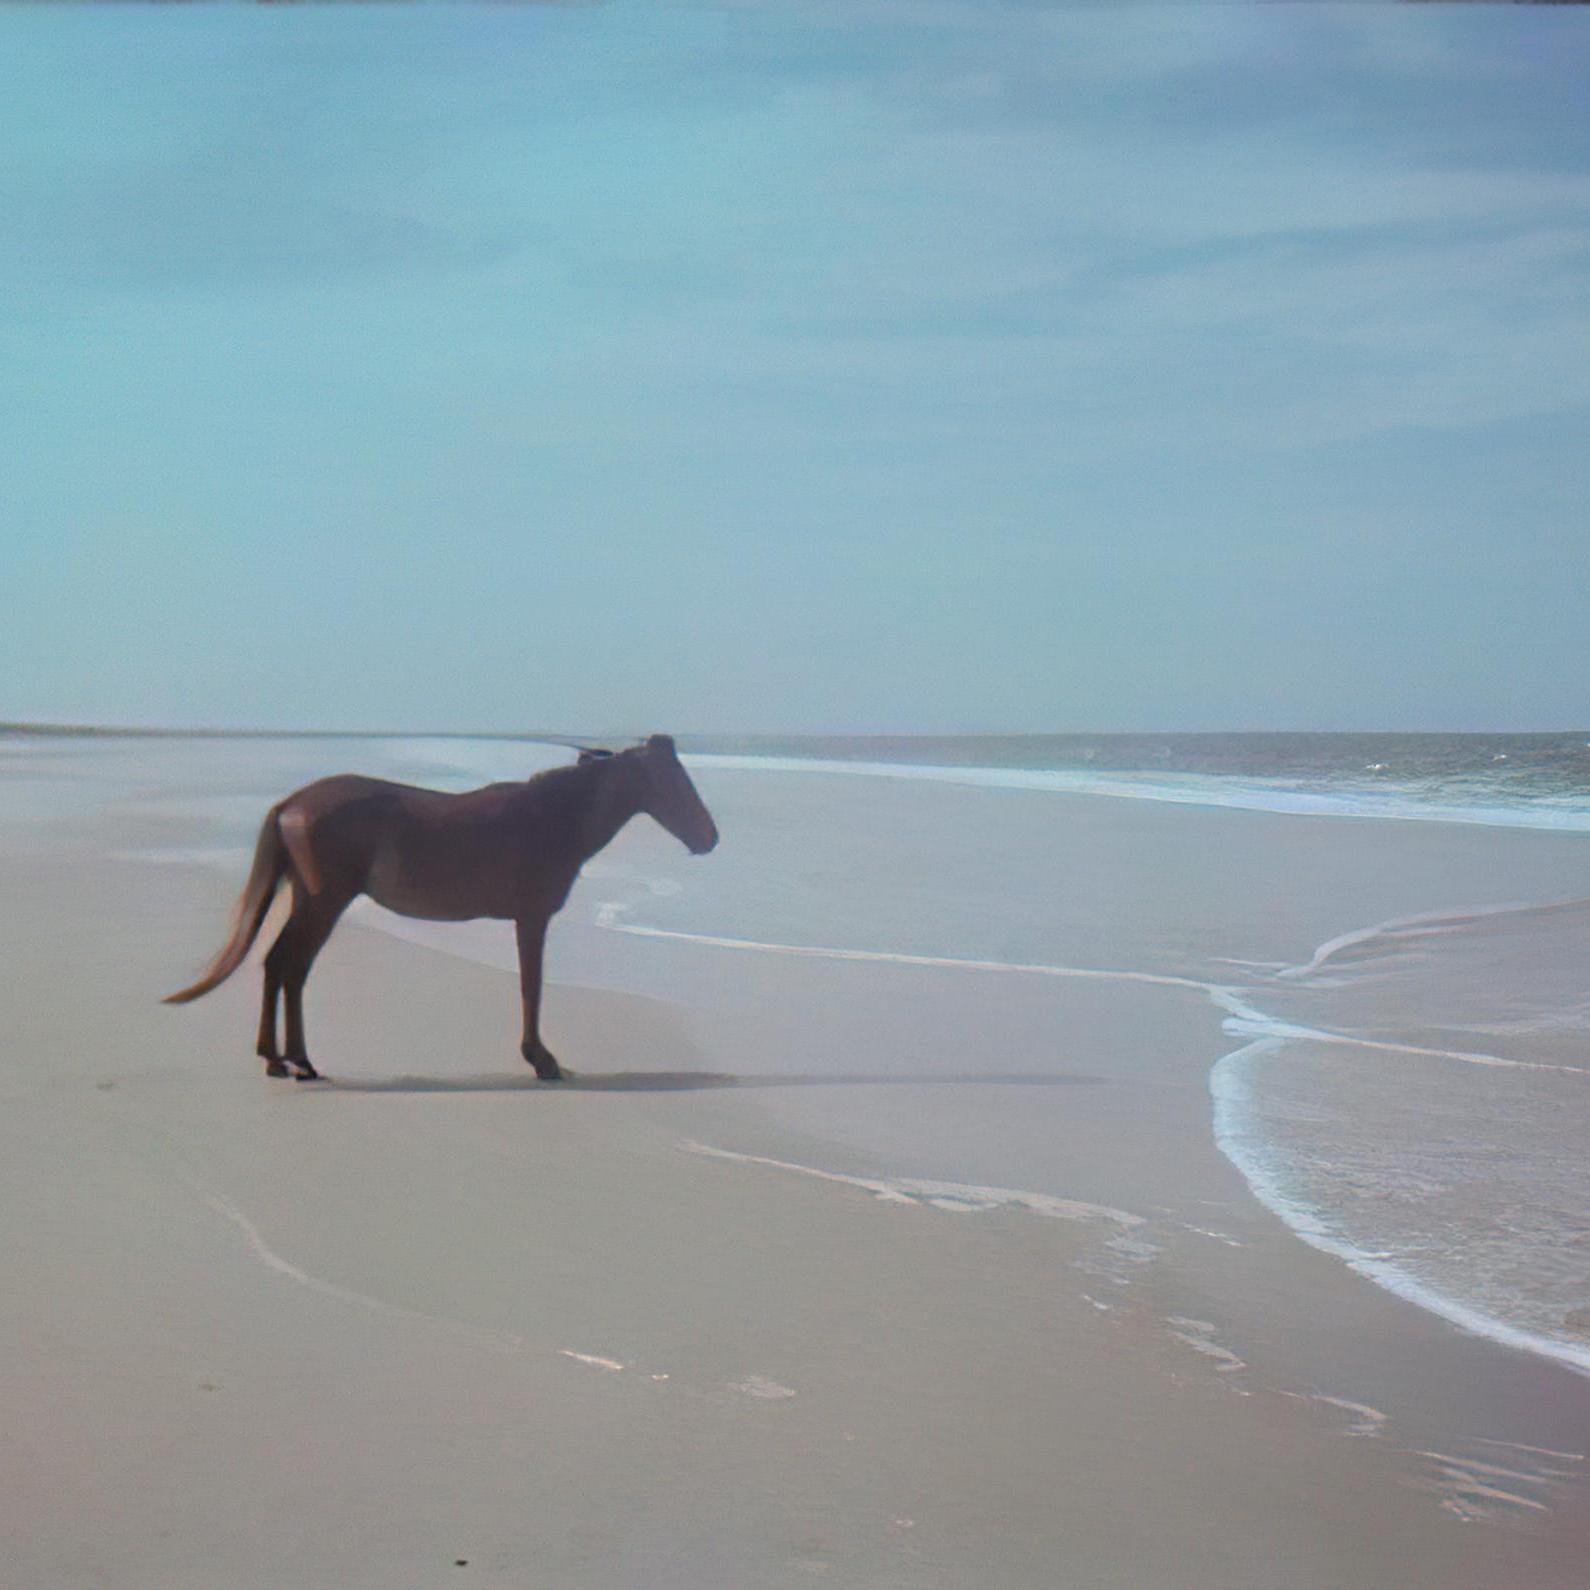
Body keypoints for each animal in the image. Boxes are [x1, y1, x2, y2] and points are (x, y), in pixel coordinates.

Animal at [164, 734, 718, 1081]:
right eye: (672, 781)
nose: (710, 838)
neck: (550, 818)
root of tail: (292, 803)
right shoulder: (531, 917)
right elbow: (531, 986)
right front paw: (541, 1060)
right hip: (324, 902)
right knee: (291, 967)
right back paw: (294, 1061)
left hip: (310, 900)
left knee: (281, 965)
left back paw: (282, 1060)